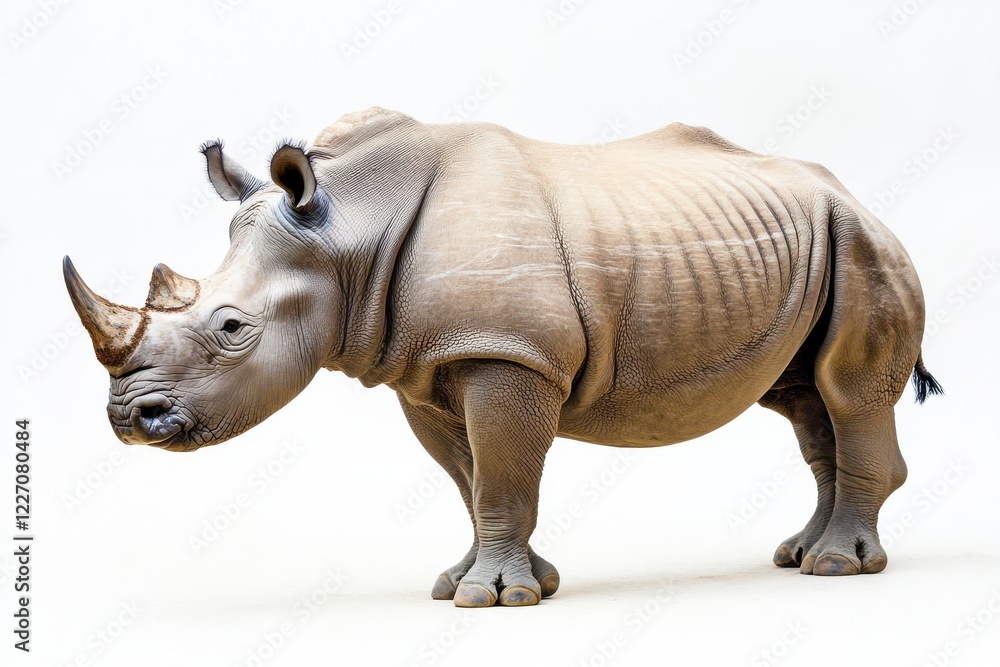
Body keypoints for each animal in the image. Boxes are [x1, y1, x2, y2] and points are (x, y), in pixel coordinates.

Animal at [64, 106, 941, 607]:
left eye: (231, 327)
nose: (130, 418)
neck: (349, 233)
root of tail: (854, 192)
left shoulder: (507, 357)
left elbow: (503, 475)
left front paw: (495, 599)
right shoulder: (427, 368)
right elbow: (472, 479)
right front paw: (479, 583)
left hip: (863, 240)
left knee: (845, 390)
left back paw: (836, 569)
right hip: (816, 240)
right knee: (802, 401)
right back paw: (799, 554)